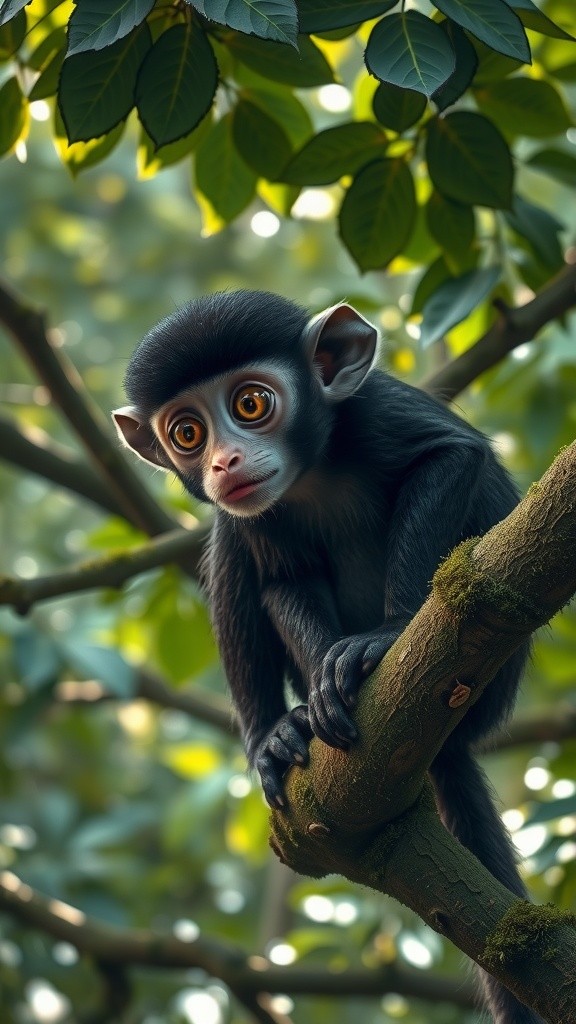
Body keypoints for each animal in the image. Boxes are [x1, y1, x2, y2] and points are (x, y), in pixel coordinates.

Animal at [114, 290, 543, 1024]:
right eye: (188, 434)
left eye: (250, 403)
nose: (225, 463)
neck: (312, 474)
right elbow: (281, 578)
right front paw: (315, 700)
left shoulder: (378, 411)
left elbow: (450, 458)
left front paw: (385, 637)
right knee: (231, 544)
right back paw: (277, 735)